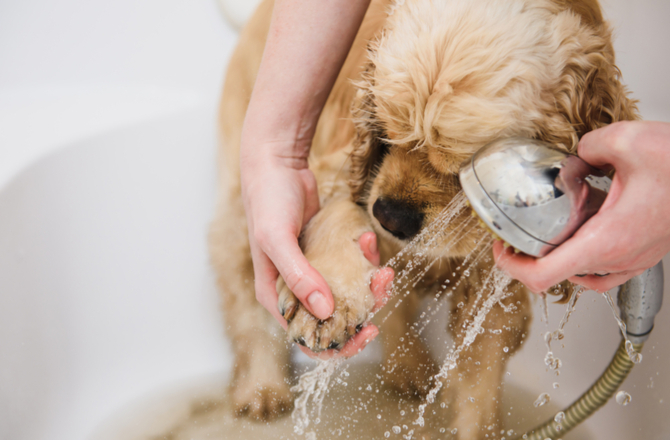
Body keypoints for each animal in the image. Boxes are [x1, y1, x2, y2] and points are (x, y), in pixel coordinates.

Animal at [210, 0, 640, 436]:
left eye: (465, 168)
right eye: (386, 130)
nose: (390, 217)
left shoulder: (494, 284)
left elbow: (479, 383)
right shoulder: (340, 168)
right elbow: (337, 215)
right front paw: (325, 305)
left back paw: (410, 370)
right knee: (245, 296)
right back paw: (262, 389)